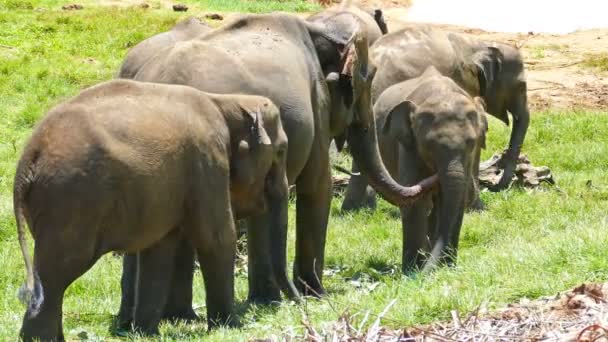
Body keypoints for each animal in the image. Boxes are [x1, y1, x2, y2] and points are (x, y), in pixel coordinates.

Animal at [13, 79, 290, 340]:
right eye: (281, 150)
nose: (296, 301)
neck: (227, 101)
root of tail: (30, 155)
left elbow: (159, 249)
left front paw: (147, 334)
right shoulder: (208, 161)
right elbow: (216, 237)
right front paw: (231, 327)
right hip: (71, 200)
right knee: (58, 272)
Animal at [120, 11, 436, 326]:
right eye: (367, 78)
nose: (432, 181)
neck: (315, 26)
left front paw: (266, 300)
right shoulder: (316, 101)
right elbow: (316, 184)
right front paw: (314, 294)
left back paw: (157, 319)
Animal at [342, 24, 528, 211]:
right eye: (521, 86)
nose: (497, 187)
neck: (480, 43)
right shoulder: (463, 83)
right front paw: (478, 208)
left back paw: (357, 209)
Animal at [376, 67, 490, 272]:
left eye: (472, 144)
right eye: (429, 146)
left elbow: (455, 202)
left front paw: (448, 268)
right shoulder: (409, 147)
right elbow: (416, 202)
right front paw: (412, 271)